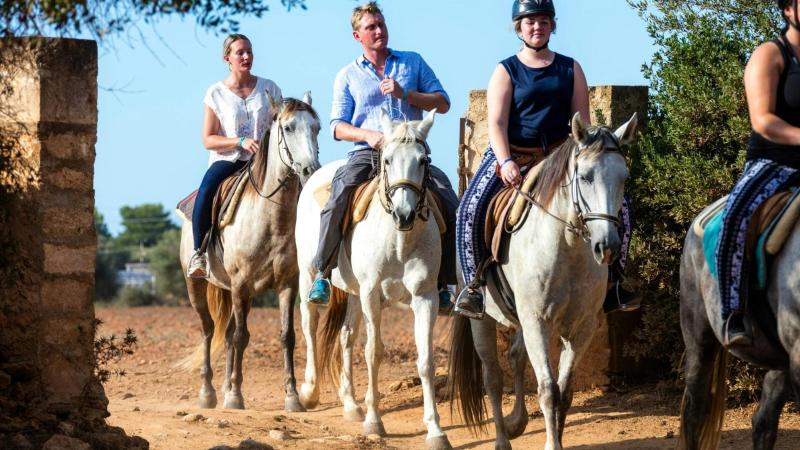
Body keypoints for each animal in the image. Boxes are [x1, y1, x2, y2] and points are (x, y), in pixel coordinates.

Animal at [178, 94, 321, 412]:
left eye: (316, 127)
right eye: (289, 127)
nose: (311, 170)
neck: (270, 218)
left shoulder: (286, 284)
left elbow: (286, 336)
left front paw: (292, 397)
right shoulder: (241, 282)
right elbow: (242, 336)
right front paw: (234, 397)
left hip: (233, 291)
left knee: (228, 333)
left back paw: (225, 385)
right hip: (198, 286)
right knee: (209, 330)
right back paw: (209, 392)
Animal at [294, 109, 453, 450]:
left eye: (424, 160)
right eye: (388, 160)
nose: (404, 214)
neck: (399, 239)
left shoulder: (425, 298)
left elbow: (426, 360)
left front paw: (436, 430)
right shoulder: (371, 294)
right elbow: (373, 353)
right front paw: (374, 421)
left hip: (353, 294)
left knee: (346, 337)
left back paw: (351, 404)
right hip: (308, 274)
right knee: (310, 325)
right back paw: (309, 392)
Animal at [448, 113, 638, 450]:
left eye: (624, 178)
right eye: (585, 176)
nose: (608, 247)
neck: (567, 247)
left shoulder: (581, 326)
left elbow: (565, 392)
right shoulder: (538, 321)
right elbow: (549, 391)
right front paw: (552, 443)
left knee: (516, 358)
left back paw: (516, 422)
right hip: (482, 319)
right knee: (492, 377)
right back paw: (502, 439)